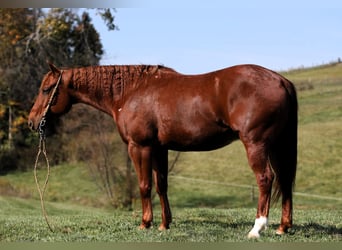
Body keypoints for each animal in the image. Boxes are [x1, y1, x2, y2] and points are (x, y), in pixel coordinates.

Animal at [28, 63, 296, 238]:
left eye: (46, 89)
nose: (32, 122)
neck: (131, 92)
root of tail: (281, 80)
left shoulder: (140, 147)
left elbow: (144, 185)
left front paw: (145, 223)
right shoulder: (160, 149)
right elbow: (161, 185)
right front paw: (164, 224)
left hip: (256, 144)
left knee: (266, 179)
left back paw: (257, 229)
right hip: (277, 145)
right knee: (285, 180)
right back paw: (283, 227)